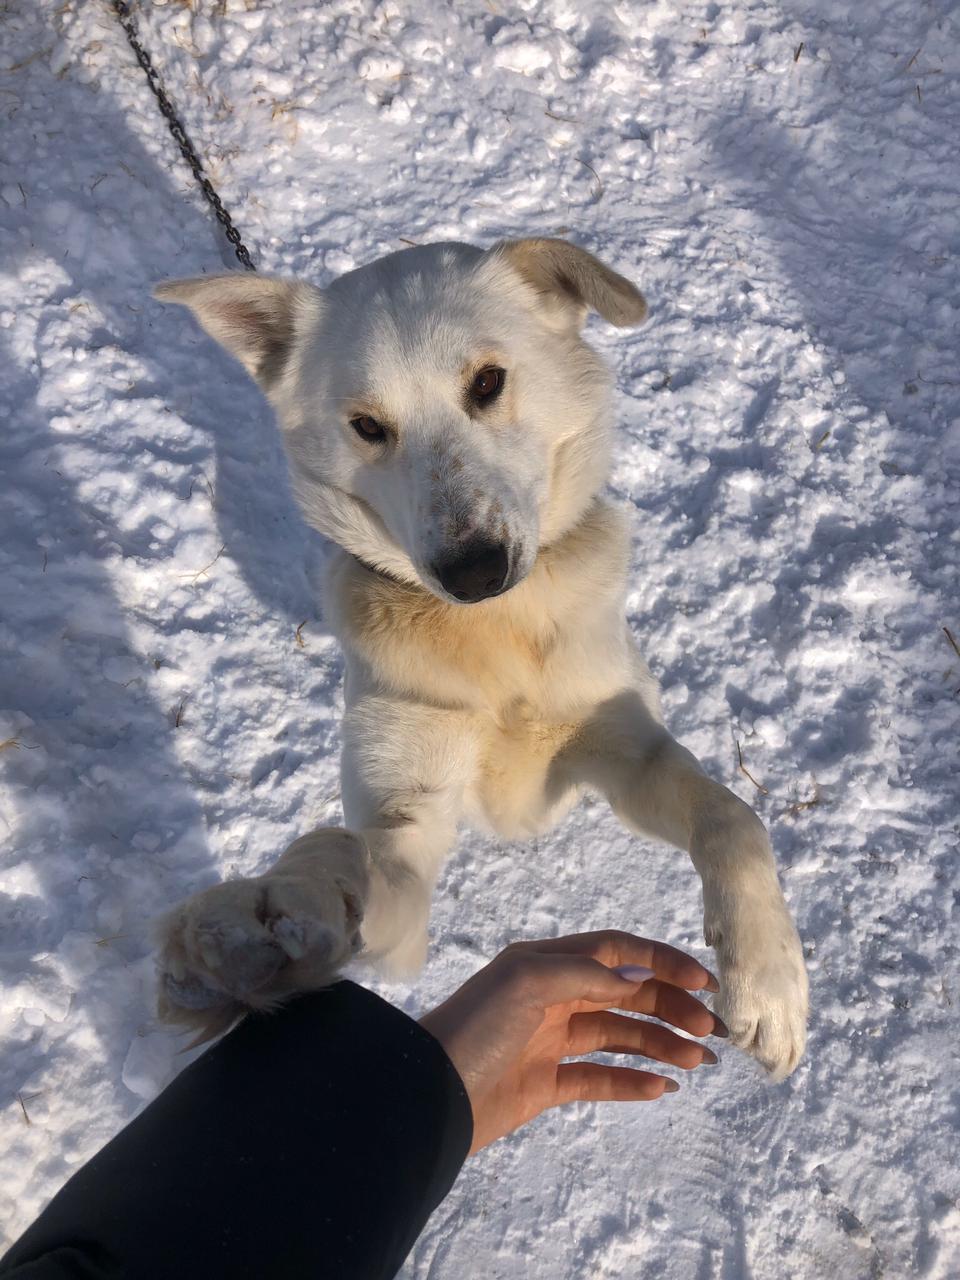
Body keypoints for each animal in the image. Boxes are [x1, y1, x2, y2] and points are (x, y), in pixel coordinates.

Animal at [154, 238, 808, 1079]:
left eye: (488, 383)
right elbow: (343, 855)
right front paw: (262, 922)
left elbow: (734, 815)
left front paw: (768, 978)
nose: (472, 571)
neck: (498, 638)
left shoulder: (628, 751)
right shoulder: (407, 810)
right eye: (366, 425)